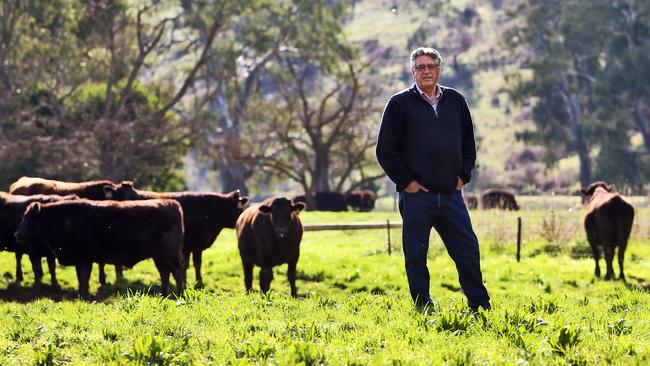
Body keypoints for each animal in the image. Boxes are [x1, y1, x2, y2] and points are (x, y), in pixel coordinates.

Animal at [13, 197, 185, 298]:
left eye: (27, 218)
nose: (17, 234)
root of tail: (172, 203)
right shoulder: (80, 260)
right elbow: (81, 278)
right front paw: (82, 295)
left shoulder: (84, 259)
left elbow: (84, 278)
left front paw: (84, 296)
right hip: (159, 257)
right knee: (165, 273)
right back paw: (163, 294)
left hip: (170, 254)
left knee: (177, 272)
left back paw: (179, 294)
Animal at [106, 182, 248, 288]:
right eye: (239, 209)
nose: (243, 218)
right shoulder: (187, 246)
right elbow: (186, 265)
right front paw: (189, 282)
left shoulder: (196, 246)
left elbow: (197, 264)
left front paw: (198, 282)